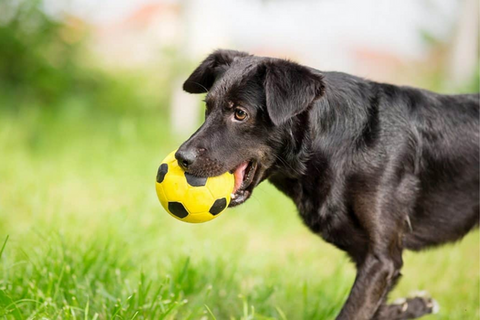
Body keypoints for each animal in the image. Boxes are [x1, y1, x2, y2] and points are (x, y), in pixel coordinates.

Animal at [174, 50, 478, 320]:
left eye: (240, 113)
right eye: (207, 107)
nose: (181, 158)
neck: (340, 144)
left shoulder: (381, 259)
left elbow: (354, 311)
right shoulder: (374, 260)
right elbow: (374, 308)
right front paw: (412, 306)